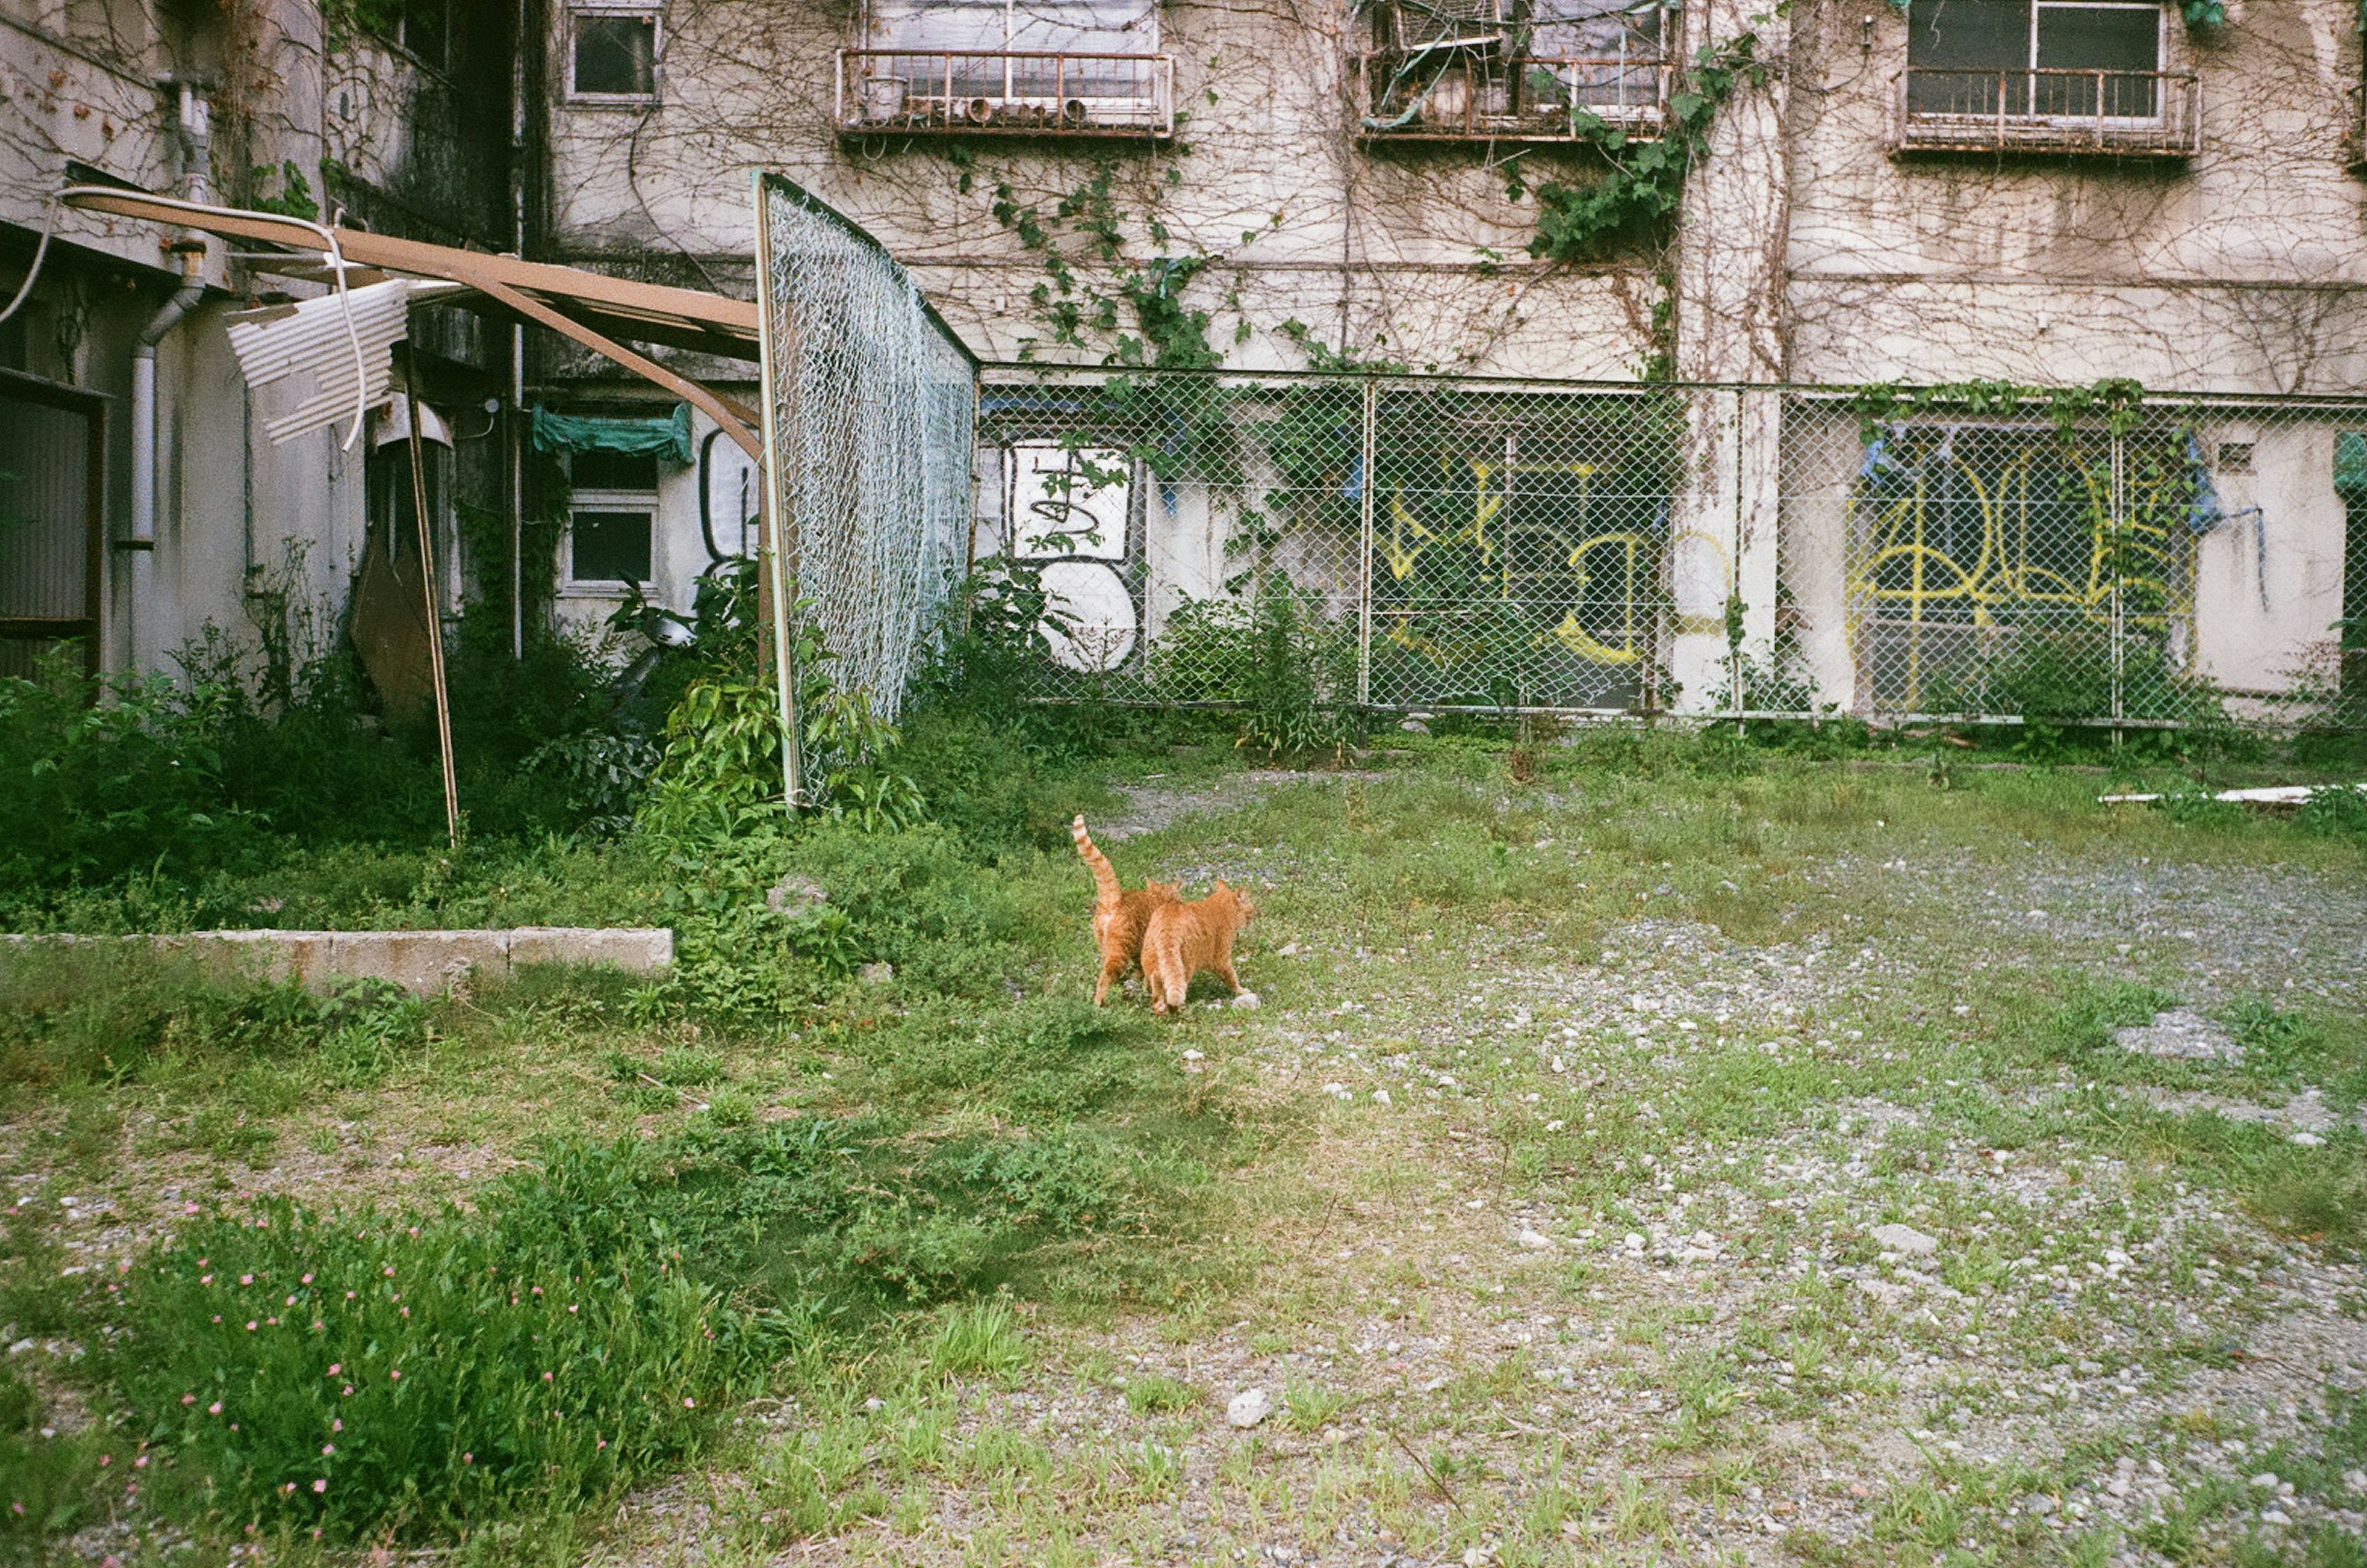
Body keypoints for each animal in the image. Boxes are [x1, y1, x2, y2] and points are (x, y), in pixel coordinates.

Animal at [1074, 814, 1184, 1013]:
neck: (1156, 897)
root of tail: (1115, 900)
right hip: (1119, 951)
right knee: (1106, 975)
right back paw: (1099, 1001)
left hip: (1105, 945)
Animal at [1140, 876, 1259, 1013]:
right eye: (1252, 907)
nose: (1255, 913)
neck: (1220, 907)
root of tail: (1168, 926)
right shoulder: (1222, 960)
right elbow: (1232, 977)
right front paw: (1241, 991)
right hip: (1186, 968)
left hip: (1151, 962)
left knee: (1157, 984)